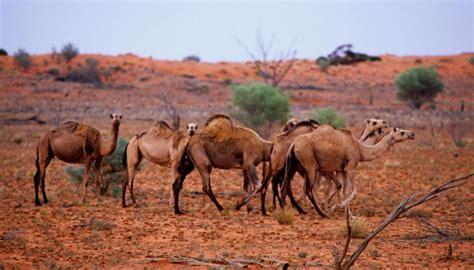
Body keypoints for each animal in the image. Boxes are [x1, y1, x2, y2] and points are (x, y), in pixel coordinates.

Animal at [282, 124, 414, 215]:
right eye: (402, 132)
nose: (413, 134)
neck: (360, 149)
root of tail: (293, 144)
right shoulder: (350, 167)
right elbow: (354, 192)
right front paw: (335, 208)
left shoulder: (342, 169)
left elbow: (345, 190)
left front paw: (347, 213)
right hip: (310, 165)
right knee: (309, 189)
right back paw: (320, 212)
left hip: (293, 165)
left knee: (286, 185)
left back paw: (294, 208)